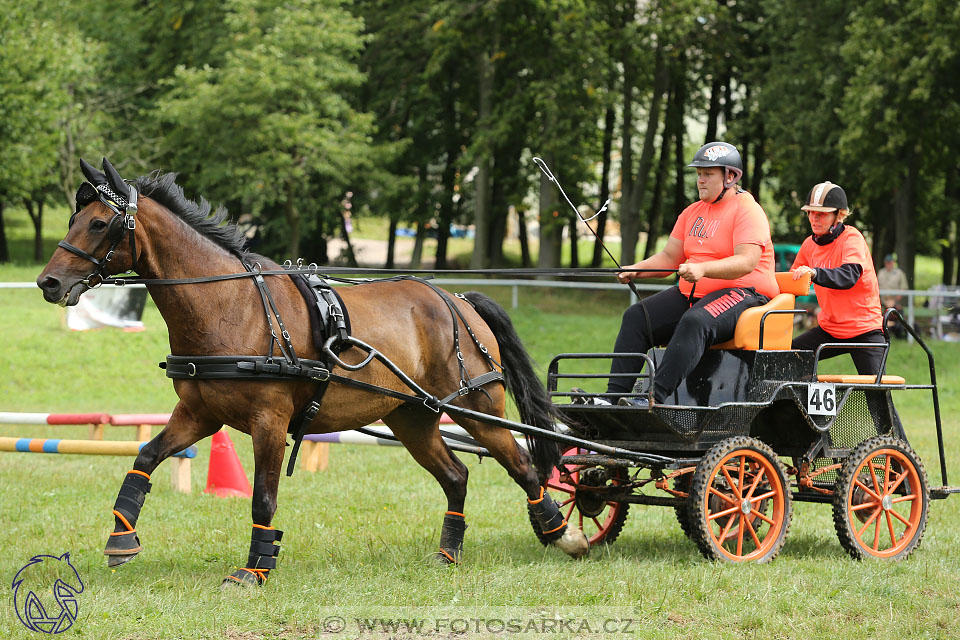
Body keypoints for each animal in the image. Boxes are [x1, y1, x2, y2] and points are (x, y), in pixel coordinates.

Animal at [35, 160, 584, 584]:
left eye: (100, 224)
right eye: (74, 217)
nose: (48, 283)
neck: (230, 305)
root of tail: (458, 300)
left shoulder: (270, 422)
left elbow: (263, 498)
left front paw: (255, 568)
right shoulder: (199, 414)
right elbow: (145, 458)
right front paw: (120, 538)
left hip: (475, 408)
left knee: (524, 466)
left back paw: (563, 534)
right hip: (413, 417)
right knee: (456, 475)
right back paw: (450, 552)